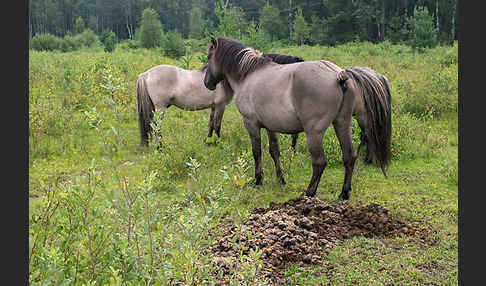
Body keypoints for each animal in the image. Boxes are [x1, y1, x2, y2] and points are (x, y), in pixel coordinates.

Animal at [136, 55, 304, 147]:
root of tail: (146, 74)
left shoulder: (213, 107)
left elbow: (210, 124)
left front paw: (208, 141)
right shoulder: (220, 106)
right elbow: (217, 125)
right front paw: (218, 143)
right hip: (160, 107)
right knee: (156, 126)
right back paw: (160, 147)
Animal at [201, 36, 392, 200]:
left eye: (209, 56)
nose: (207, 83)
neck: (248, 75)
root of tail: (339, 75)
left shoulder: (251, 124)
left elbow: (257, 152)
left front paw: (258, 180)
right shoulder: (270, 127)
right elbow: (274, 151)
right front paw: (281, 178)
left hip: (314, 133)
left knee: (319, 162)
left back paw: (309, 192)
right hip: (342, 124)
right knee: (349, 156)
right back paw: (344, 193)